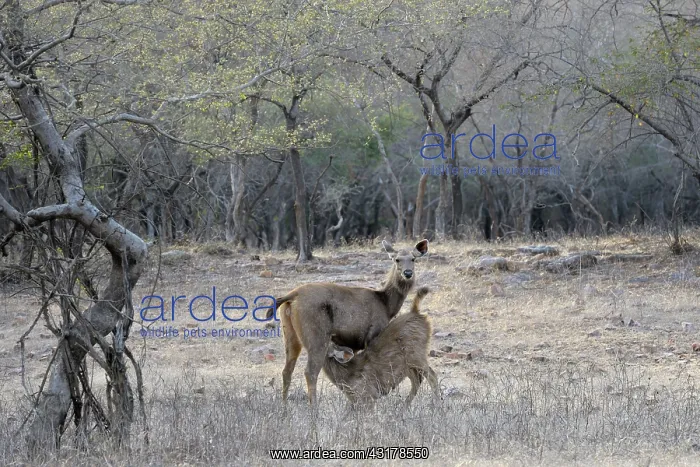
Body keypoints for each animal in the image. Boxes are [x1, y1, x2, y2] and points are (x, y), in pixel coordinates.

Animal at [267, 239, 429, 405]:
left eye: (413, 259)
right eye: (396, 259)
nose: (408, 273)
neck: (386, 305)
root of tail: (292, 295)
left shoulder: (354, 343)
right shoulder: (373, 332)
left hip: (290, 334)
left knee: (287, 371)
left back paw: (285, 407)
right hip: (316, 335)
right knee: (310, 372)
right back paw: (314, 409)